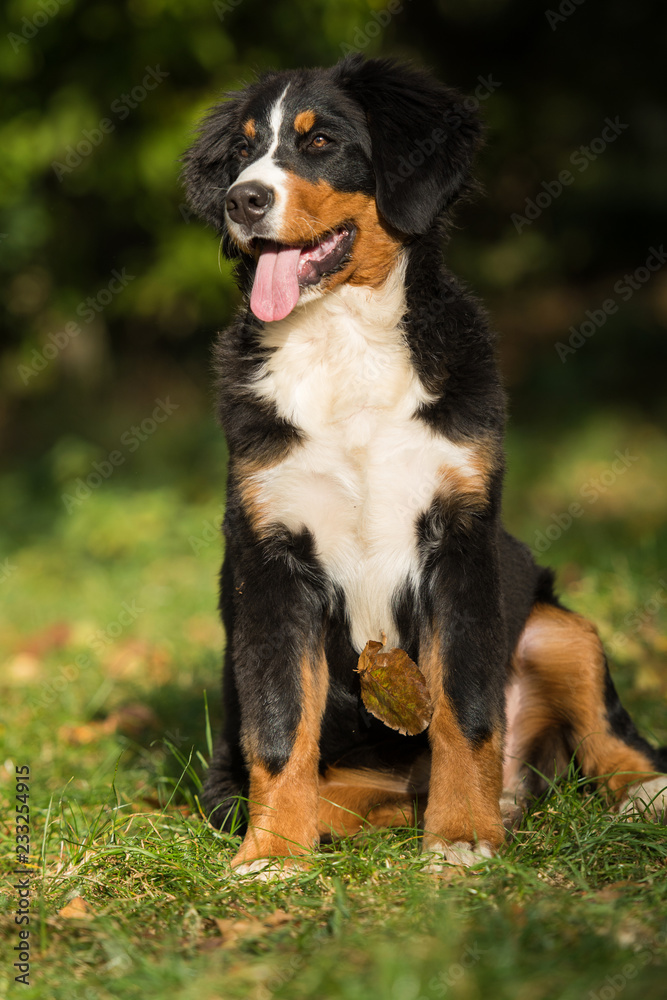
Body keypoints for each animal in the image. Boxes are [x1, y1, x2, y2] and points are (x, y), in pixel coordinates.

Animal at [183, 54, 667, 872]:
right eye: (243, 149)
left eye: (320, 142)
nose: (240, 199)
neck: (343, 342)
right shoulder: (270, 559)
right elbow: (280, 723)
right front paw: (273, 852)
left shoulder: (459, 541)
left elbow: (464, 712)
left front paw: (463, 836)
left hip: (557, 626)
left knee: (609, 737)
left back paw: (632, 793)